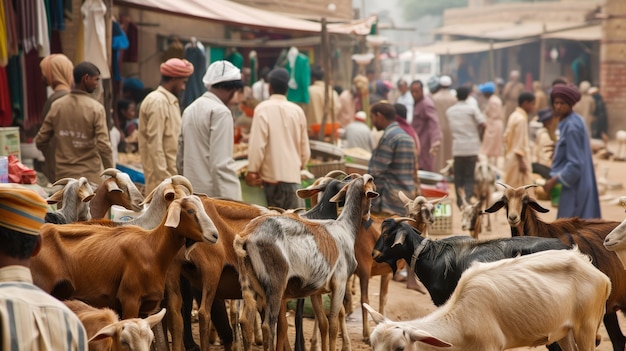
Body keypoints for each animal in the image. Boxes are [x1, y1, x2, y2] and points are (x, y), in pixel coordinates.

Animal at [31, 195, 219, 320]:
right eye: (190, 211)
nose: (214, 235)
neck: (153, 249)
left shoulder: (145, 308)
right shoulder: (130, 300)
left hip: (60, 291)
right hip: (40, 285)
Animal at [234, 175, 378, 351]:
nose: (368, 217)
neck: (345, 227)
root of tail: (245, 235)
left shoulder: (316, 290)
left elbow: (323, 323)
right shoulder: (340, 283)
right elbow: (333, 323)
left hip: (250, 285)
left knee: (245, 321)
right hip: (275, 285)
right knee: (269, 325)